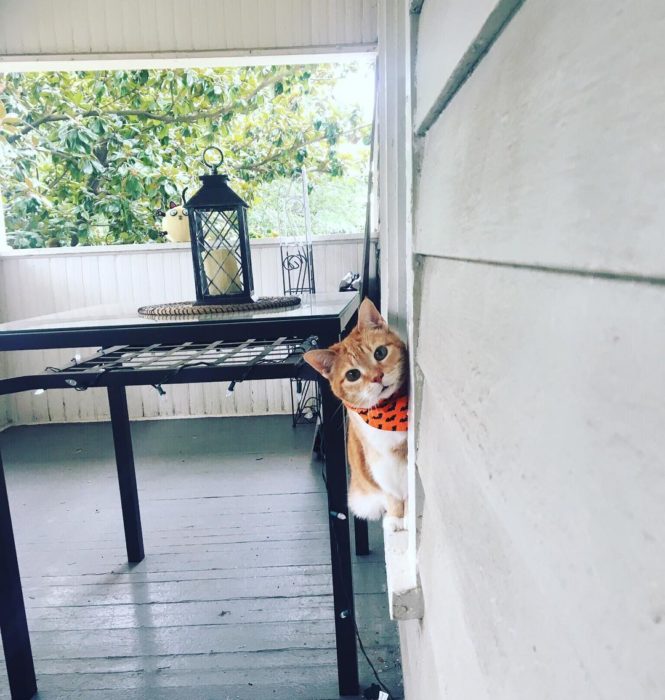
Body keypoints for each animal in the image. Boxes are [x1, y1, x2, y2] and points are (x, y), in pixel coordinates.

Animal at [304, 296, 408, 532]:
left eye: (380, 353)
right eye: (352, 375)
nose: (378, 377)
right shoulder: (379, 464)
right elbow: (392, 492)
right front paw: (397, 517)